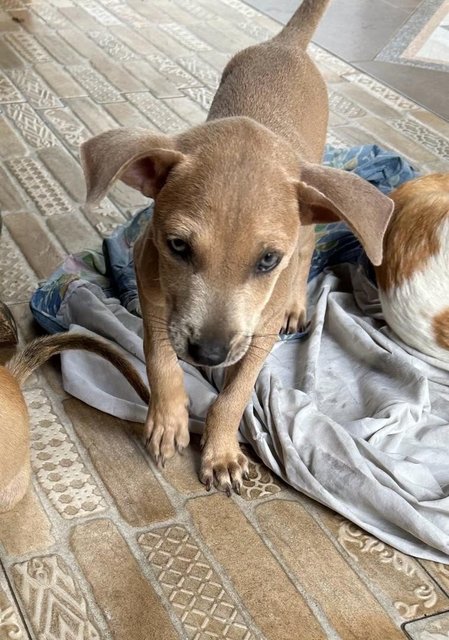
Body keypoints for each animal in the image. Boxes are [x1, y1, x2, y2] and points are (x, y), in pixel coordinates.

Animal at [80, 0, 392, 496]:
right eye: (177, 245)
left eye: (267, 260)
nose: (208, 354)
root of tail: (286, 45)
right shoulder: (150, 281)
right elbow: (159, 355)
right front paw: (168, 419)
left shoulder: (257, 332)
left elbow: (236, 393)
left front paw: (222, 452)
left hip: (313, 196)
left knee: (307, 246)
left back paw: (296, 304)